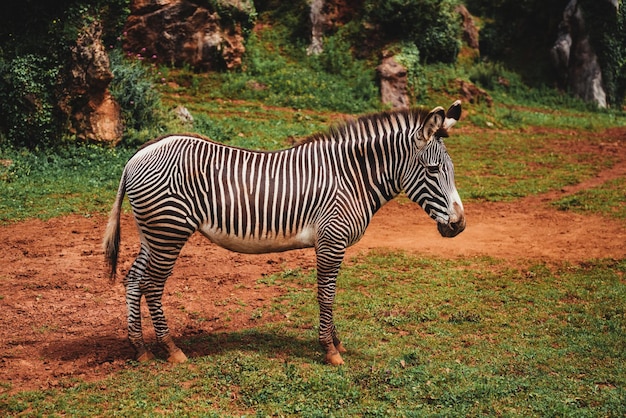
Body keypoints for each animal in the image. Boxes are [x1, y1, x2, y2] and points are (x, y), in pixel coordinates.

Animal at [102, 99, 464, 364]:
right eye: (433, 169)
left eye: (451, 168)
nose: (459, 224)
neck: (351, 178)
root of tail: (136, 156)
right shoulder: (331, 241)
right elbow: (326, 293)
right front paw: (330, 350)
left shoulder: (331, 243)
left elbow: (329, 292)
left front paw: (336, 343)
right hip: (169, 231)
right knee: (151, 285)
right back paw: (172, 349)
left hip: (153, 233)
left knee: (134, 279)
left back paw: (141, 349)